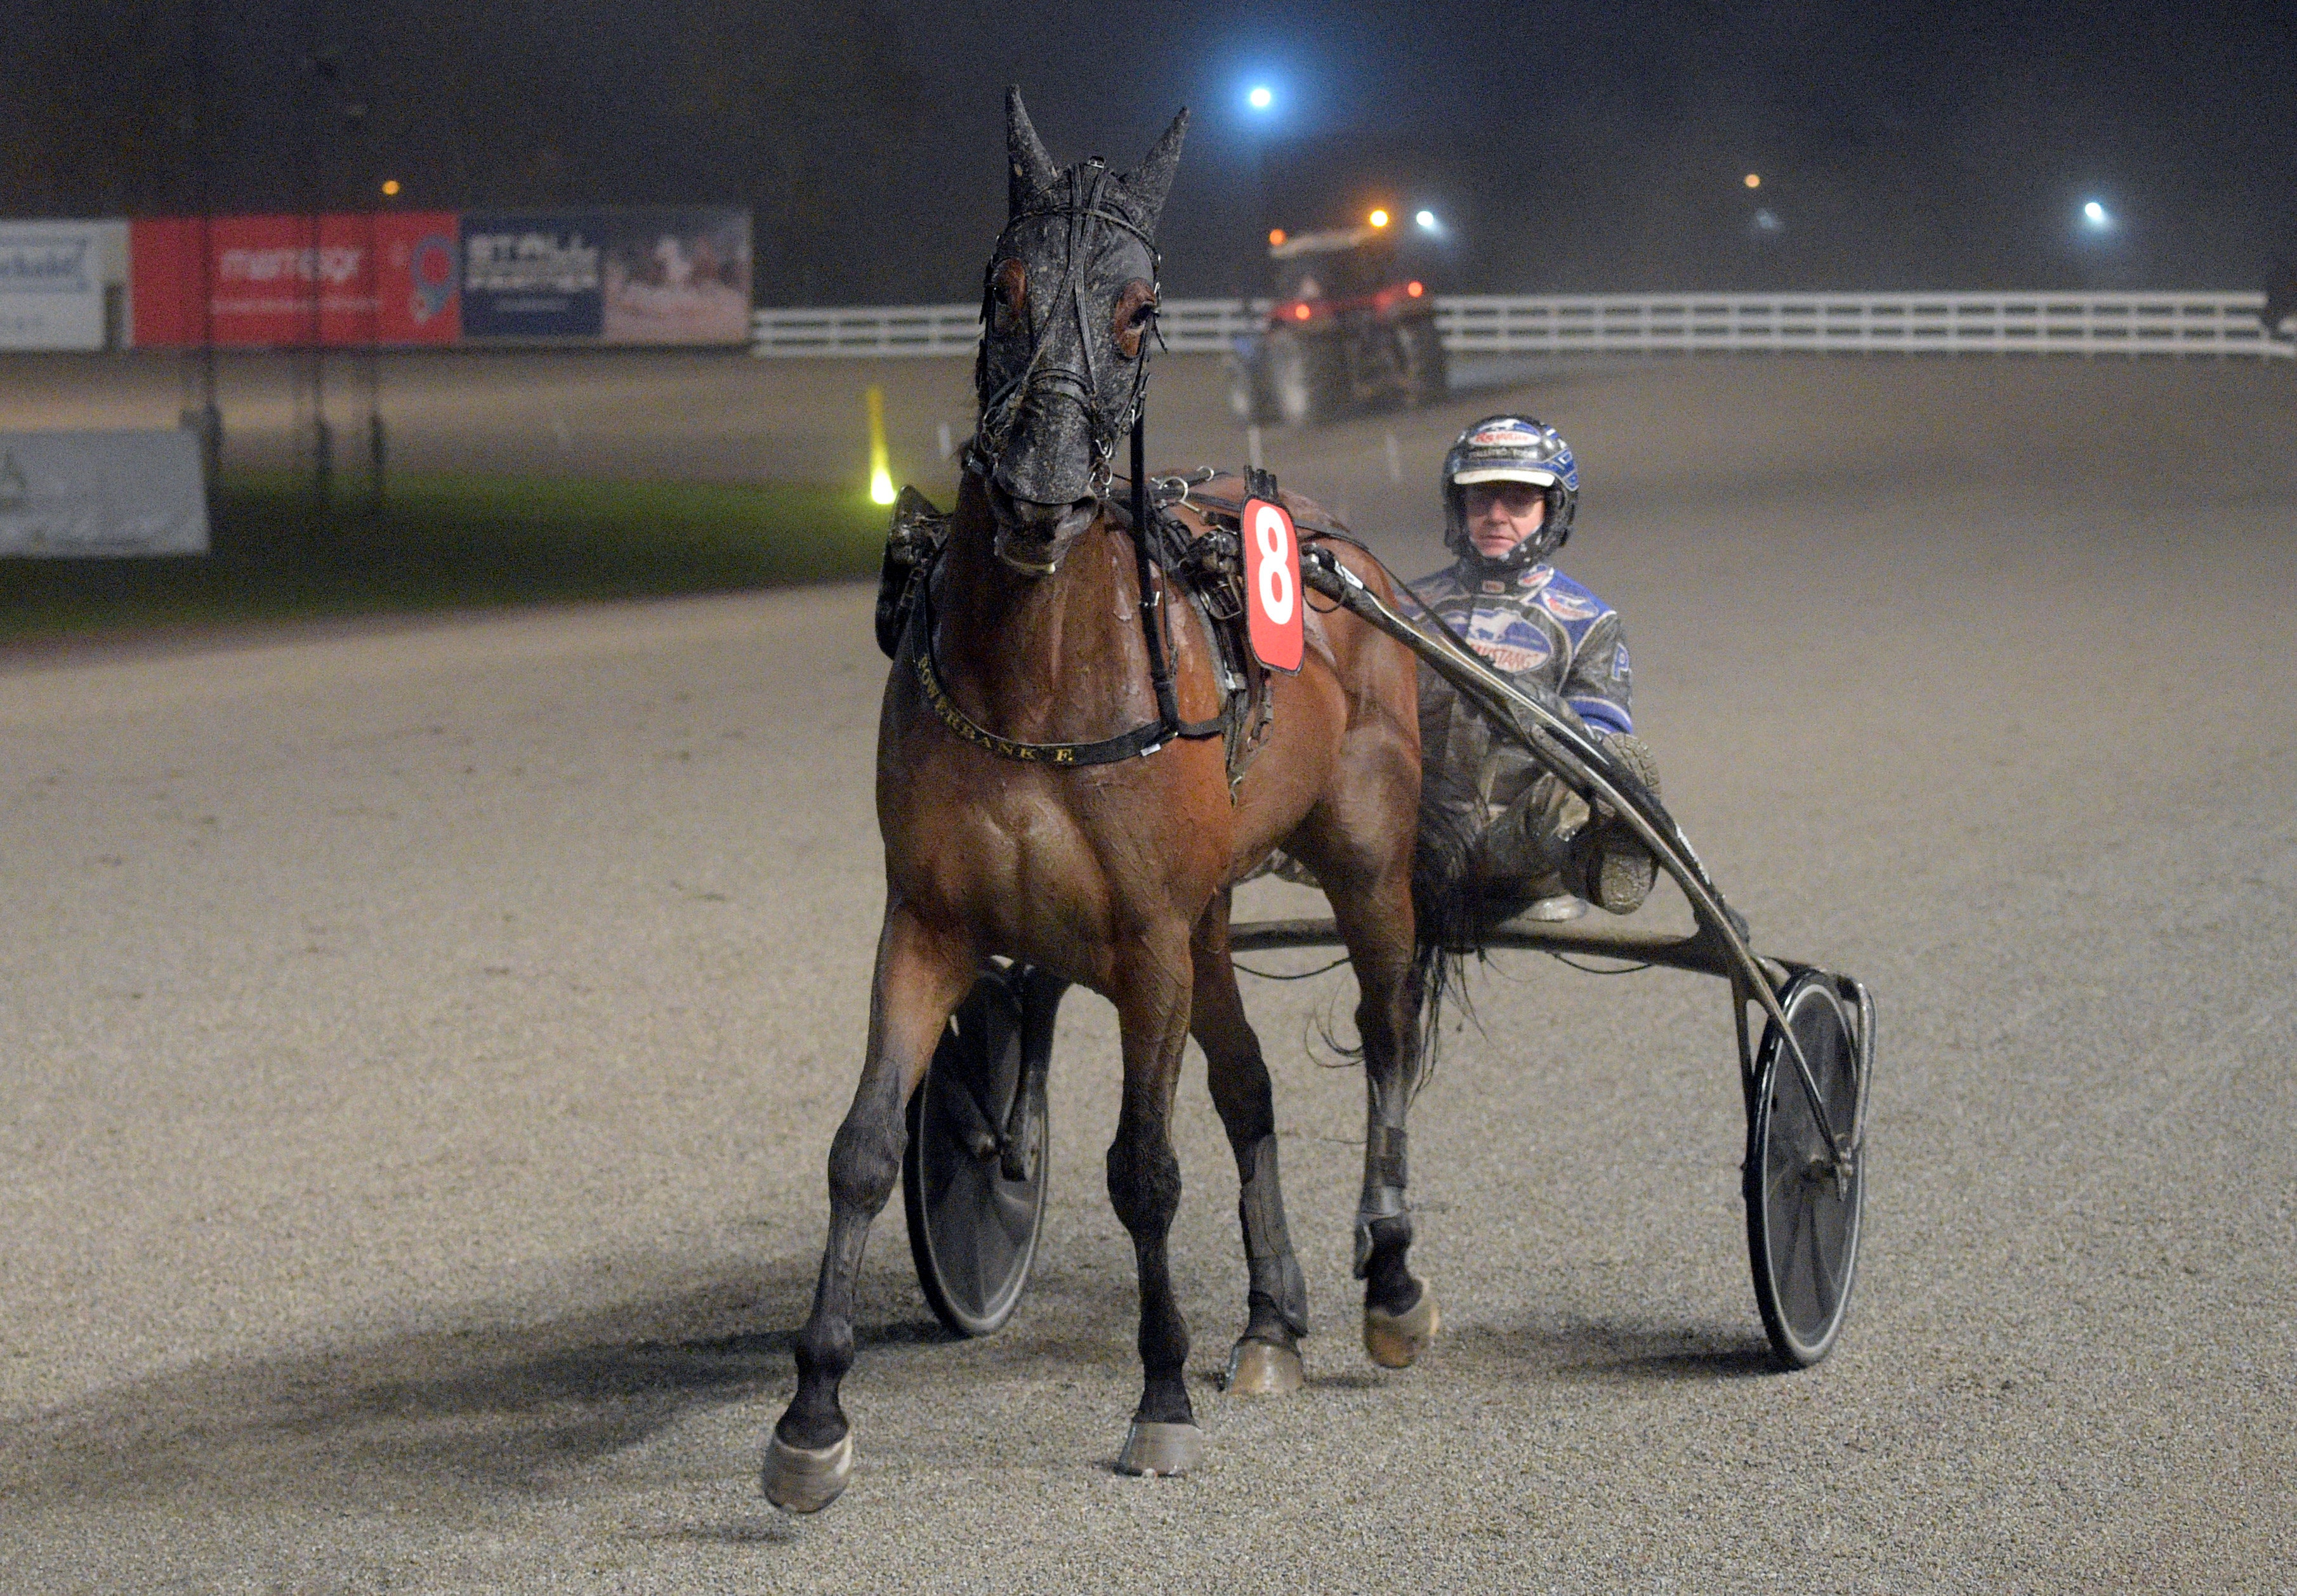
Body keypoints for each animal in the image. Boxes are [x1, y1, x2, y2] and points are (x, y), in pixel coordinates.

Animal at [764, 89, 1463, 1513]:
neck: (1039, 682)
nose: (1039, 490)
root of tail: (1337, 544)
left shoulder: (1144, 939)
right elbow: (864, 1147)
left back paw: (1389, 1276)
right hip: (1212, 920)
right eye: (1003, 286)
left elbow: (1143, 1170)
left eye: (1140, 307)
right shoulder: (928, 920)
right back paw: (1271, 1317)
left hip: (1363, 861)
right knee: (1249, 1084)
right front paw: (811, 1414)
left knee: (1383, 1035)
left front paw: (1158, 1397)